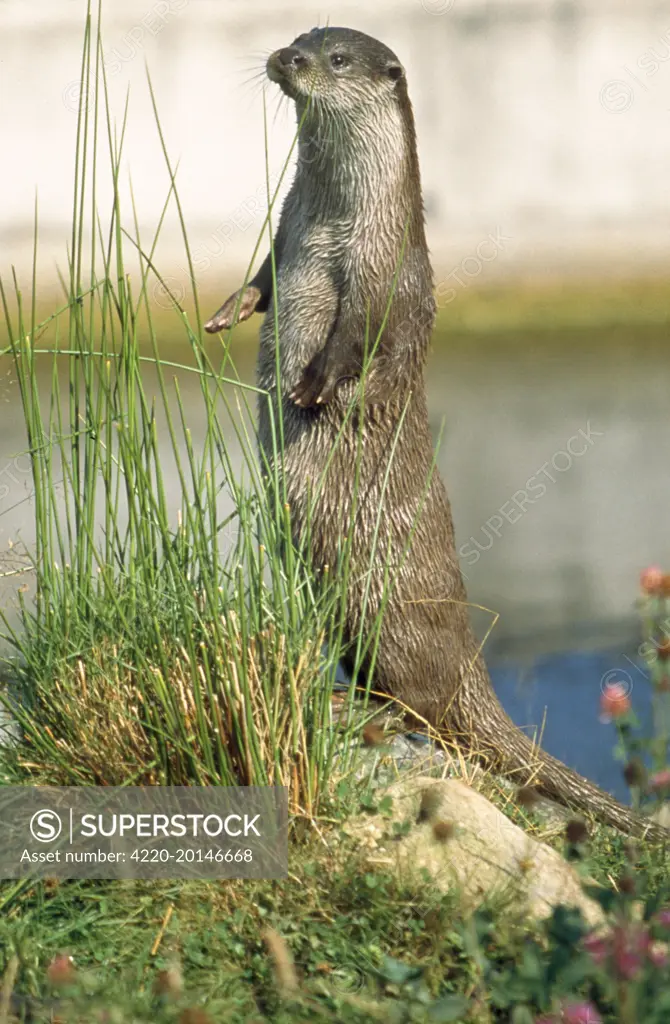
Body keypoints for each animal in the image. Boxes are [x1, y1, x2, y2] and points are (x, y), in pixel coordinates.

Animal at [206, 28, 667, 839]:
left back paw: (368, 712)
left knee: (427, 711)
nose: (286, 60)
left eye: (337, 58)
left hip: (389, 615)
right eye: (300, 37)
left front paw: (312, 386)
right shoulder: (284, 227)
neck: (330, 219)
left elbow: (358, 337)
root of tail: (469, 668)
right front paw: (230, 309)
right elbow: (261, 275)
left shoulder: (382, 268)